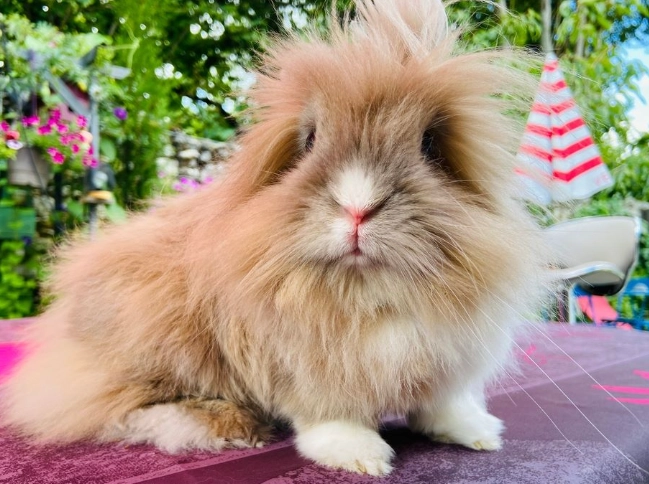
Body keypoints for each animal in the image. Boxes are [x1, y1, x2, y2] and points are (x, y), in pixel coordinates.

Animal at [2, 0, 549, 476]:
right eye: (309, 140)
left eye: (430, 143)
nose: (357, 206)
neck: (364, 293)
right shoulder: (304, 366)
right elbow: (331, 413)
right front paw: (360, 456)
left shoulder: (448, 359)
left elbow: (445, 403)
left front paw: (479, 433)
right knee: (117, 407)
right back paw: (223, 425)